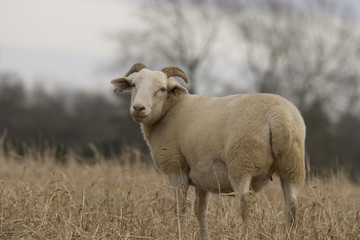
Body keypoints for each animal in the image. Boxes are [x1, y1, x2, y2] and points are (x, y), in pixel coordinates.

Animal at [111, 62, 306, 239]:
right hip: (292, 167)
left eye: (162, 89)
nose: (138, 108)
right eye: (134, 85)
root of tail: (279, 117)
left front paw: (179, 233)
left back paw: (245, 235)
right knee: (292, 207)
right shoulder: (201, 178)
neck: (171, 111)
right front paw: (204, 236)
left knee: (244, 204)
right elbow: (200, 211)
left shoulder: (176, 169)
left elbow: (180, 208)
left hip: (242, 163)